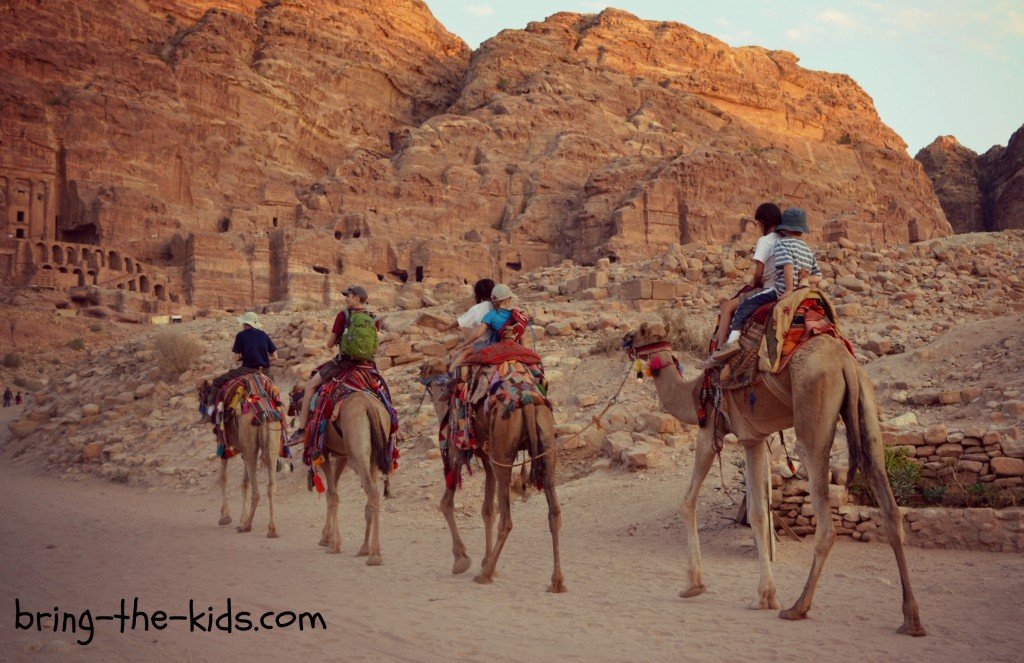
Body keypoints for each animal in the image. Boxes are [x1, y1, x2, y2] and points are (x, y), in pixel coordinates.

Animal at [288, 383, 391, 565]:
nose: (300, 429)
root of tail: (369, 406)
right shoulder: (341, 455)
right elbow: (332, 491)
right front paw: (326, 537)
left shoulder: (323, 451)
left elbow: (332, 494)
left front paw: (333, 544)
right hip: (373, 453)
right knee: (371, 496)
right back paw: (366, 548)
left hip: (357, 449)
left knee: (372, 492)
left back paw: (373, 556)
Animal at [415, 354, 569, 594]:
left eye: (425, 368)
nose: (420, 375)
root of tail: (527, 402)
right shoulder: (487, 458)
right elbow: (487, 509)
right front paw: (487, 560)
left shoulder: (456, 450)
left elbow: (446, 503)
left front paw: (462, 559)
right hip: (547, 444)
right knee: (554, 512)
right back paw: (557, 581)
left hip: (503, 451)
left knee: (507, 519)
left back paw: (484, 575)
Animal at [622, 321, 929, 639]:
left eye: (640, 331)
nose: (625, 339)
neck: (693, 392)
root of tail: (844, 362)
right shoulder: (754, 438)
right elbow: (758, 514)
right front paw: (765, 596)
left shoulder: (711, 431)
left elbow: (688, 503)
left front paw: (693, 586)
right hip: (867, 407)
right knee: (889, 507)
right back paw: (911, 621)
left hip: (813, 413)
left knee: (826, 523)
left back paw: (798, 608)